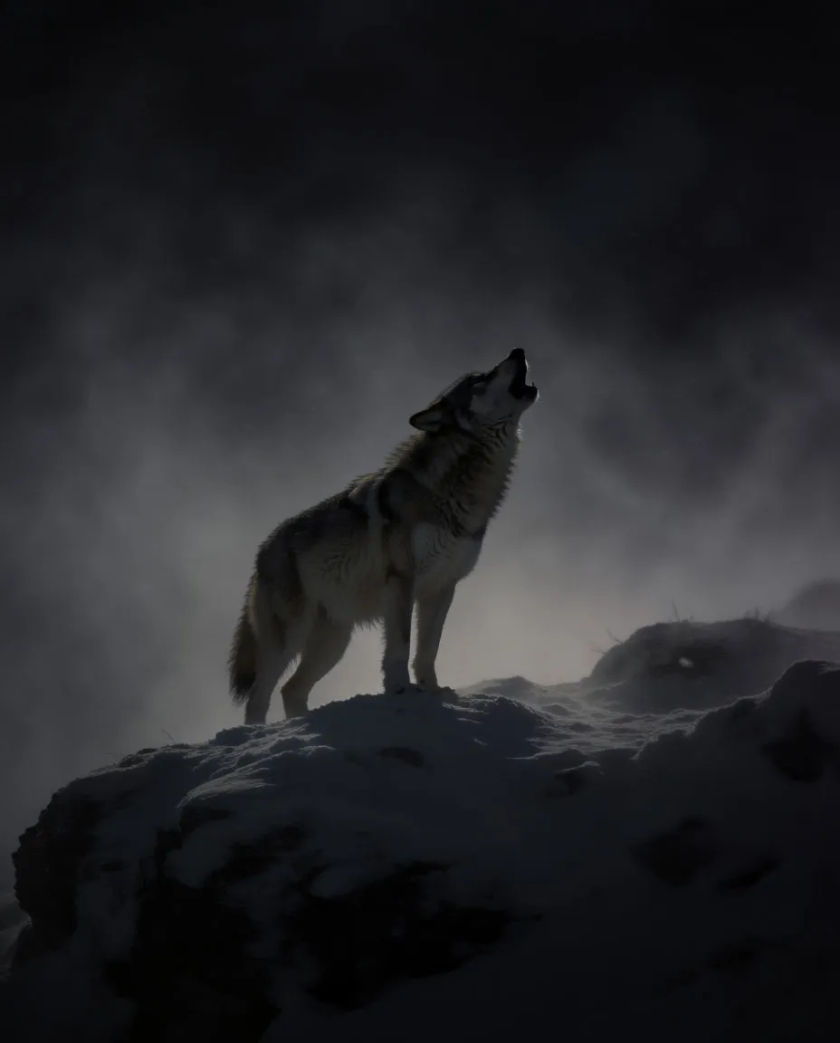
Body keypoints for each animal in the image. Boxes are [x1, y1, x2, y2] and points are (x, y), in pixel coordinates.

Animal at [229, 348, 538, 722]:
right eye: (480, 378)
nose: (518, 350)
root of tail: (261, 551)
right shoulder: (402, 581)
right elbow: (401, 646)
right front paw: (400, 689)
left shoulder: (442, 588)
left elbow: (428, 650)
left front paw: (434, 692)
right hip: (289, 639)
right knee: (259, 697)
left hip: (333, 643)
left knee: (291, 690)